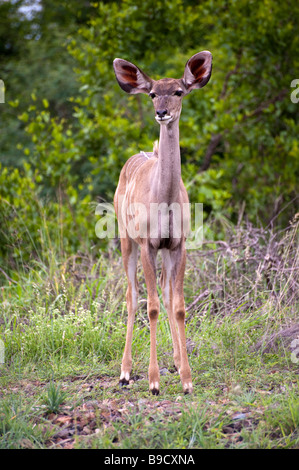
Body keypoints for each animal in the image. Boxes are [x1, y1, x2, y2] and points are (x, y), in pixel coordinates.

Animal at [113, 51, 213, 394]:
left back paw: (176, 362)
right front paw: (154, 382)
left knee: (167, 296)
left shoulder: (178, 244)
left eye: (179, 91)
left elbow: (178, 306)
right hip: (125, 241)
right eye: (153, 93)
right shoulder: (148, 244)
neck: (165, 198)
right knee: (132, 297)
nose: (162, 113)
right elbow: (151, 306)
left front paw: (187, 380)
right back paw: (125, 373)